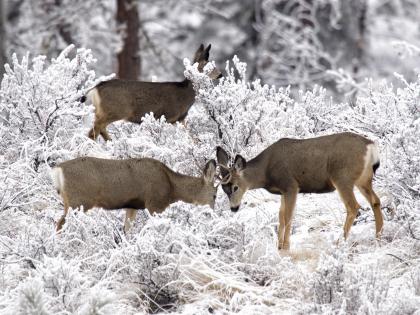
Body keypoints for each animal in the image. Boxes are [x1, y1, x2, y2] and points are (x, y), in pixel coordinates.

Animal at [50, 157, 217, 232]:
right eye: (215, 195)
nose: (212, 213)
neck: (171, 187)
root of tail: (58, 170)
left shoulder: (132, 206)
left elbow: (128, 229)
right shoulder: (155, 203)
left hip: (70, 202)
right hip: (79, 201)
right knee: (61, 223)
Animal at [80, 43, 221, 141]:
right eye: (208, 66)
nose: (220, 74)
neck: (185, 96)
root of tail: (96, 88)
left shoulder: (180, 119)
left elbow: (193, 138)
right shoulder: (169, 116)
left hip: (102, 111)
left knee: (99, 129)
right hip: (115, 109)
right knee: (95, 130)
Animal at [217, 132, 384, 251]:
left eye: (235, 187)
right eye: (224, 189)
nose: (234, 208)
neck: (266, 171)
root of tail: (371, 147)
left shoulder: (291, 185)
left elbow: (288, 216)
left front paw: (285, 246)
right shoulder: (283, 191)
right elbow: (281, 216)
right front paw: (279, 246)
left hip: (342, 177)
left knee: (353, 206)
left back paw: (339, 242)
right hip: (363, 179)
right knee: (375, 201)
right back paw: (378, 236)